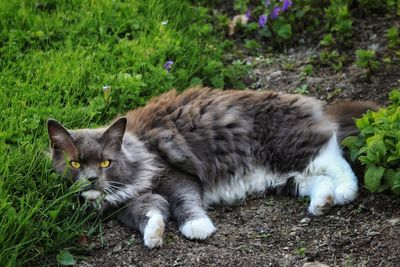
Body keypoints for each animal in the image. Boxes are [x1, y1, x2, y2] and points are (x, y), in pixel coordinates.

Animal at [47, 87, 378, 249]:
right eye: (75, 164)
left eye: (105, 162)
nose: (91, 180)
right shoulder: (129, 206)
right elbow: (150, 214)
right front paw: (154, 235)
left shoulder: (175, 176)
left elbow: (183, 203)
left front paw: (197, 227)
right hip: (285, 176)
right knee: (317, 181)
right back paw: (322, 203)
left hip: (289, 146)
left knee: (335, 157)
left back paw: (344, 193)